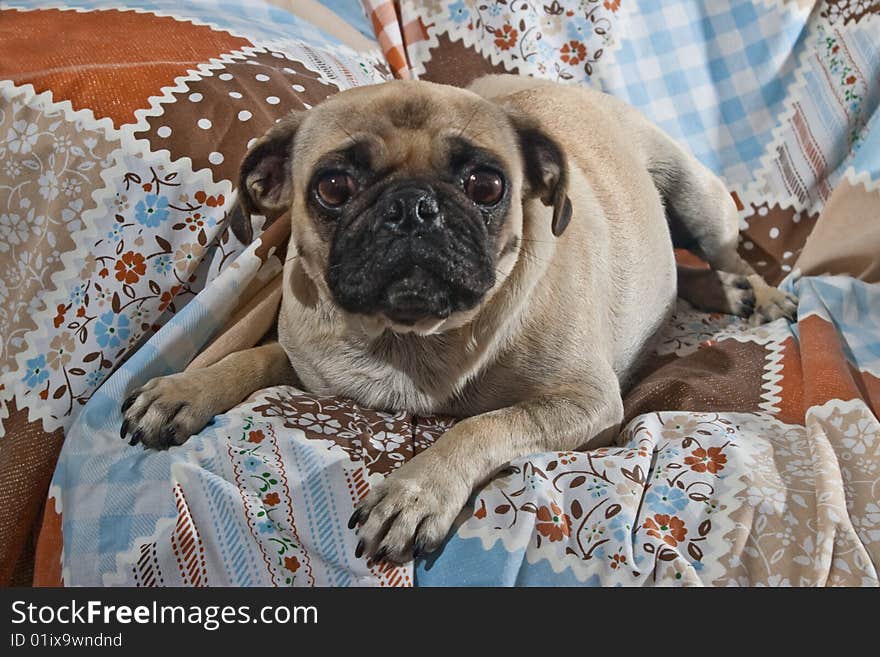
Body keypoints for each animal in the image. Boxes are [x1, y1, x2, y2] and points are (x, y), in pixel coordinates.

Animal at [118, 74, 796, 560]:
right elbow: (252, 356)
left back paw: (757, 295)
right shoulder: (310, 364)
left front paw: (417, 490)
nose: (413, 207)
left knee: (726, 253)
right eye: (333, 188)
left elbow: (482, 425)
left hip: (699, 199)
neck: (411, 340)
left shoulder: (585, 402)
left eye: (487, 185)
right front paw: (186, 389)